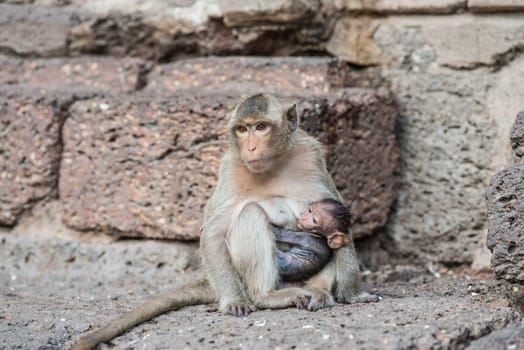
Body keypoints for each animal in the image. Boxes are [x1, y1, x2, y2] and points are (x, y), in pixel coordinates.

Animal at [72, 93, 360, 350]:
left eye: (261, 127)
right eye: (242, 129)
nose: (251, 147)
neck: (272, 165)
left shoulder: (309, 155)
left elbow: (337, 226)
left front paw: (353, 294)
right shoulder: (231, 167)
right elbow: (212, 232)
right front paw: (233, 301)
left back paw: (319, 292)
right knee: (251, 213)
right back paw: (265, 296)